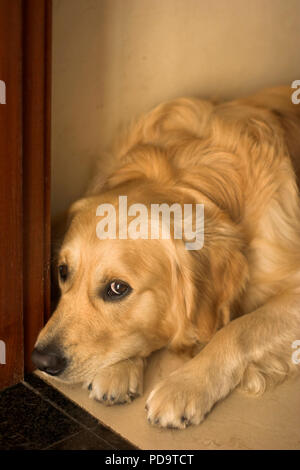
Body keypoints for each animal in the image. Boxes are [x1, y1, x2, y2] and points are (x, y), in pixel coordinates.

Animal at [32, 85, 300, 430]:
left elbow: (237, 330)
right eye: (63, 272)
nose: (40, 360)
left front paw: (184, 386)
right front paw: (118, 369)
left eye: (117, 288)